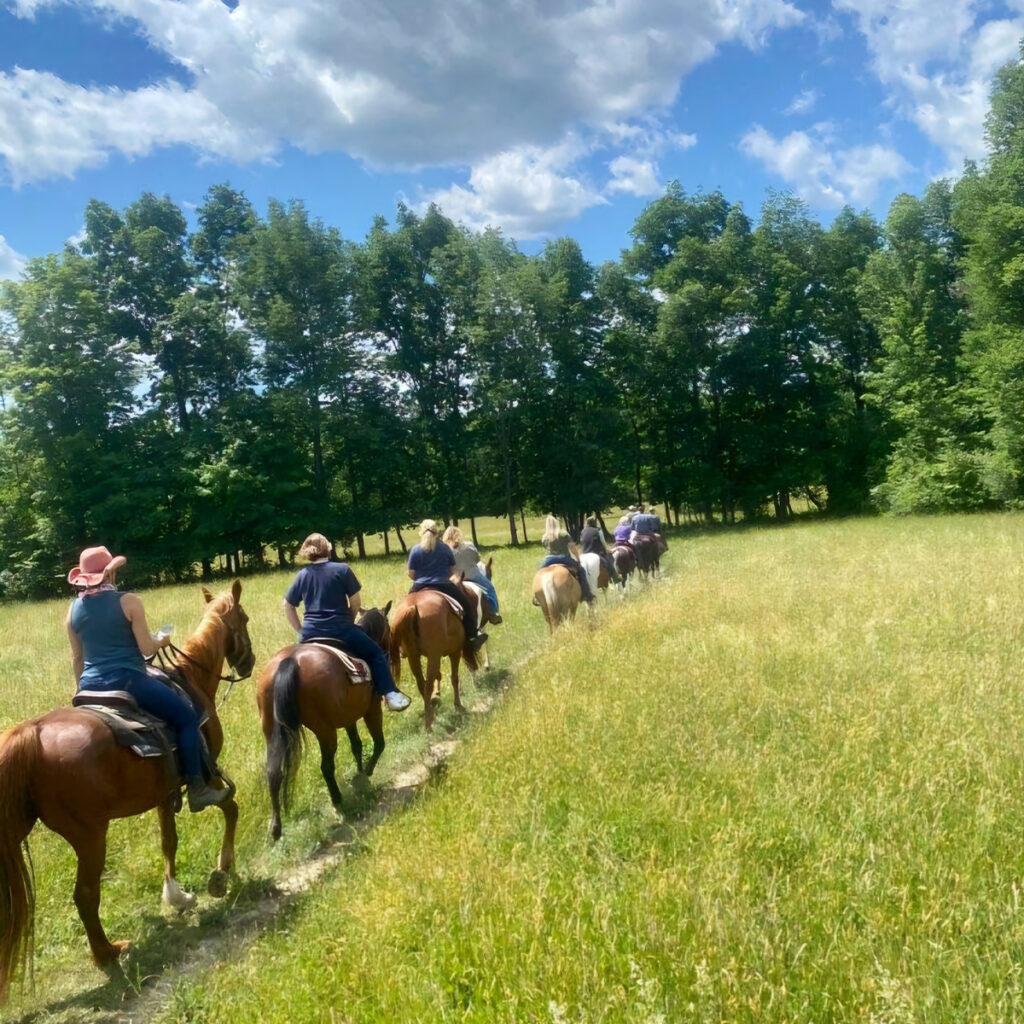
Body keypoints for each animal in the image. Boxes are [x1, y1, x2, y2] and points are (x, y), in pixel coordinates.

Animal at [0, 581, 254, 1003]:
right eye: (245, 619)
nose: (249, 663)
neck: (191, 678)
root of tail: (31, 734)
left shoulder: (164, 791)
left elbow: (169, 841)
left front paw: (177, 896)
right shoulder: (207, 773)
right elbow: (230, 807)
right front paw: (222, 871)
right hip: (90, 836)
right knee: (85, 895)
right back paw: (108, 953)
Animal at [258, 602, 393, 835]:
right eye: (390, 627)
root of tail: (290, 661)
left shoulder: (348, 717)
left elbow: (356, 745)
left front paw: (360, 774)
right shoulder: (372, 708)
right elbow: (378, 743)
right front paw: (366, 773)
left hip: (271, 728)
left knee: (273, 771)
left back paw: (275, 827)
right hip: (325, 730)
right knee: (326, 767)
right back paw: (338, 803)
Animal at [387, 589, 479, 733]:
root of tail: (412, 608)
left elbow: (439, 676)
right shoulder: (455, 652)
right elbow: (454, 678)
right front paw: (458, 705)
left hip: (414, 657)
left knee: (422, 685)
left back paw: (431, 717)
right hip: (434, 656)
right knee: (428, 686)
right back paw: (428, 725)